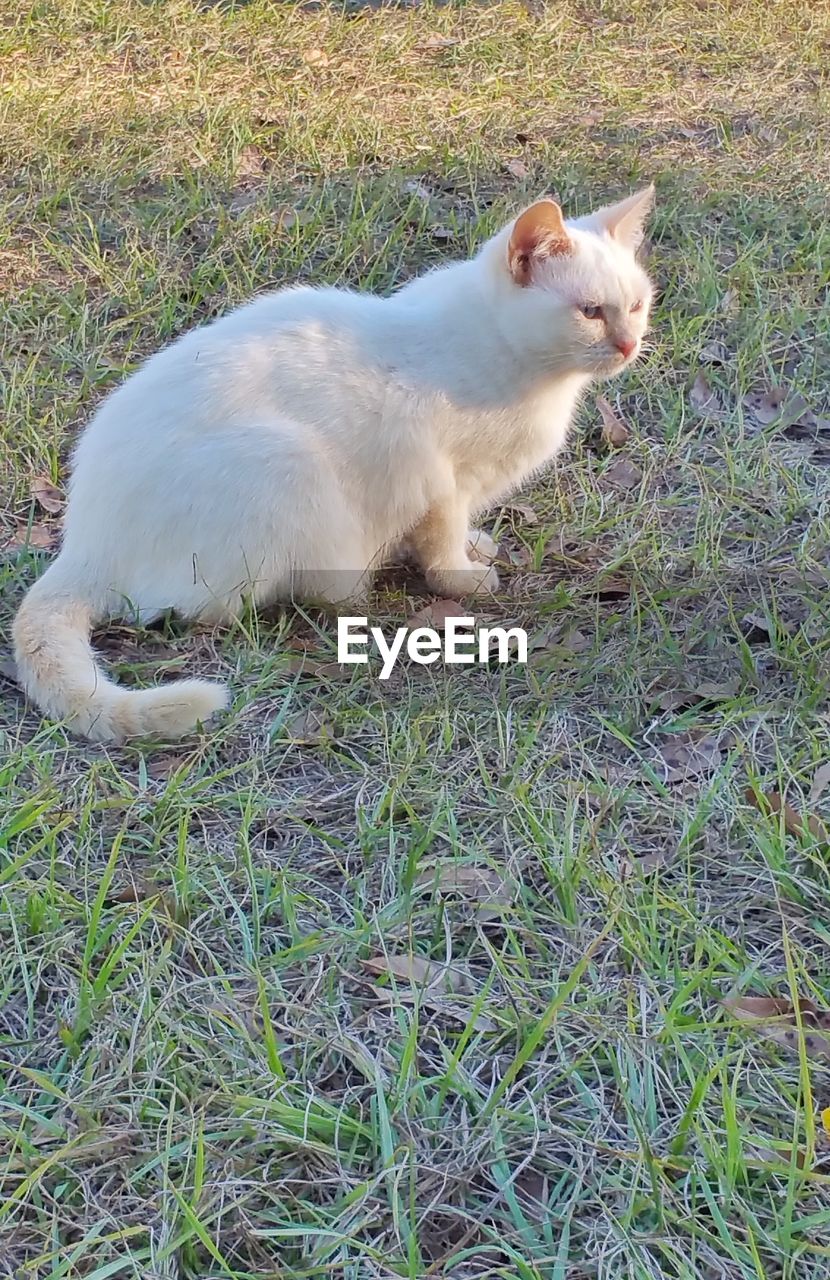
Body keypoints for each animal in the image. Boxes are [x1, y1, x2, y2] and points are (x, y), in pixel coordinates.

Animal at [11, 184, 655, 737]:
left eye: (637, 304)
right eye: (591, 311)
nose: (628, 344)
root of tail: (82, 543)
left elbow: (455, 531)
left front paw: (478, 548)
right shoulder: (439, 477)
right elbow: (441, 544)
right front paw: (465, 578)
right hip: (288, 461)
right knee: (230, 606)